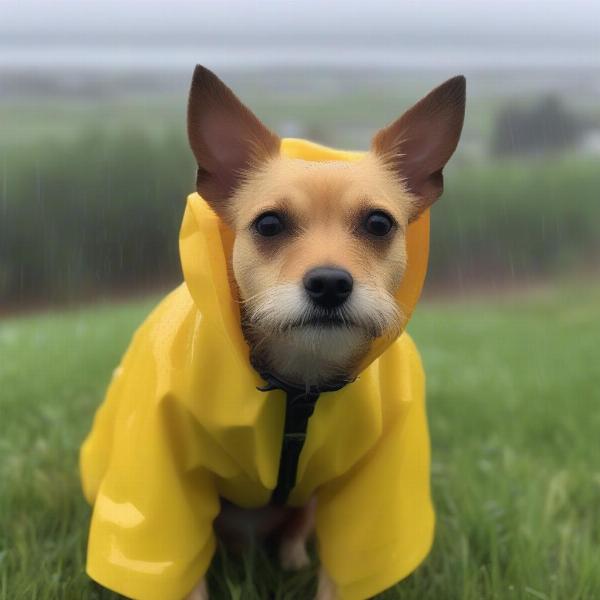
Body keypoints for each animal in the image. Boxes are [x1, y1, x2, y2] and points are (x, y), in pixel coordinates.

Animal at [78, 65, 464, 600]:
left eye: (379, 223)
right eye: (269, 224)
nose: (330, 283)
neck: (299, 384)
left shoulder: (370, 492)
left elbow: (343, 574)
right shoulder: (164, 486)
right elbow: (182, 574)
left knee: (296, 533)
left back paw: (291, 558)